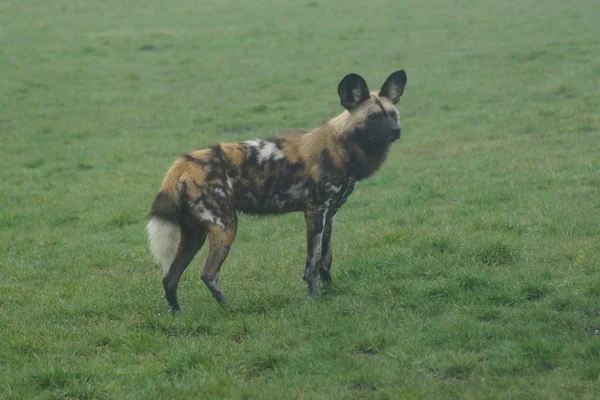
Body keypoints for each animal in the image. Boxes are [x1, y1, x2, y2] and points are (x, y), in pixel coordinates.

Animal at [147, 69, 408, 312]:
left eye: (393, 115)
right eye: (373, 117)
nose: (397, 130)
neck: (342, 147)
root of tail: (184, 162)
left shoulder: (330, 216)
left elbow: (326, 259)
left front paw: (331, 289)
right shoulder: (315, 212)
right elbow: (313, 263)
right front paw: (315, 298)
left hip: (195, 235)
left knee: (170, 278)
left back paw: (177, 315)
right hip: (225, 227)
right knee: (208, 274)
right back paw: (231, 310)